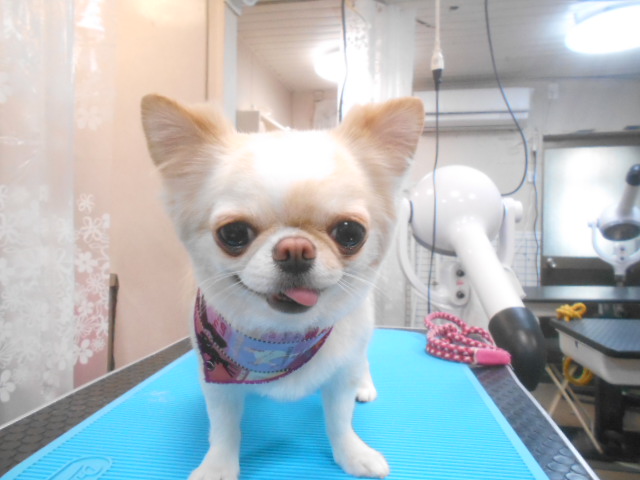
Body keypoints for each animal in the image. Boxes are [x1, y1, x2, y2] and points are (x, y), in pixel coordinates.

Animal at [141, 94, 424, 480]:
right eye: (233, 233)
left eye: (350, 232)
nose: (295, 249)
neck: (282, 338)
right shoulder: (218, 383)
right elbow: (224, 429)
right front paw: (218, 466)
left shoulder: (340, 376)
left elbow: (339, 420)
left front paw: (352, 454)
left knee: (361, 360)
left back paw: (364, 385)